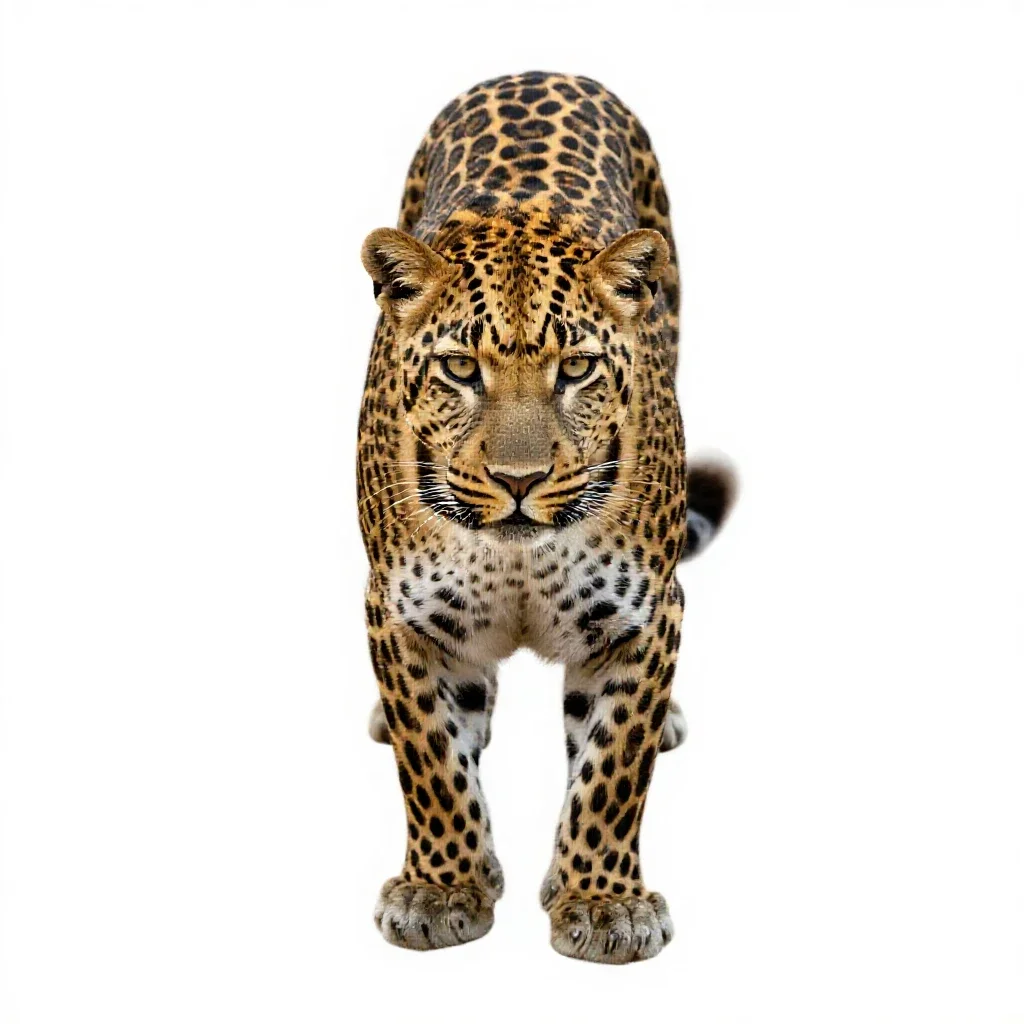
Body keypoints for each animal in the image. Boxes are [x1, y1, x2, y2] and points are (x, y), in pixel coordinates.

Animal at [356, 71, 735, 963]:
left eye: (577, 368)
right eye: (461, 368)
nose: (518, 480)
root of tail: (536, 69)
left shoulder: (644, 616)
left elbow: (613, 770)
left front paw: (603, 902)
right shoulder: (401, 611)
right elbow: (433, 760)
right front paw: (442, 888)